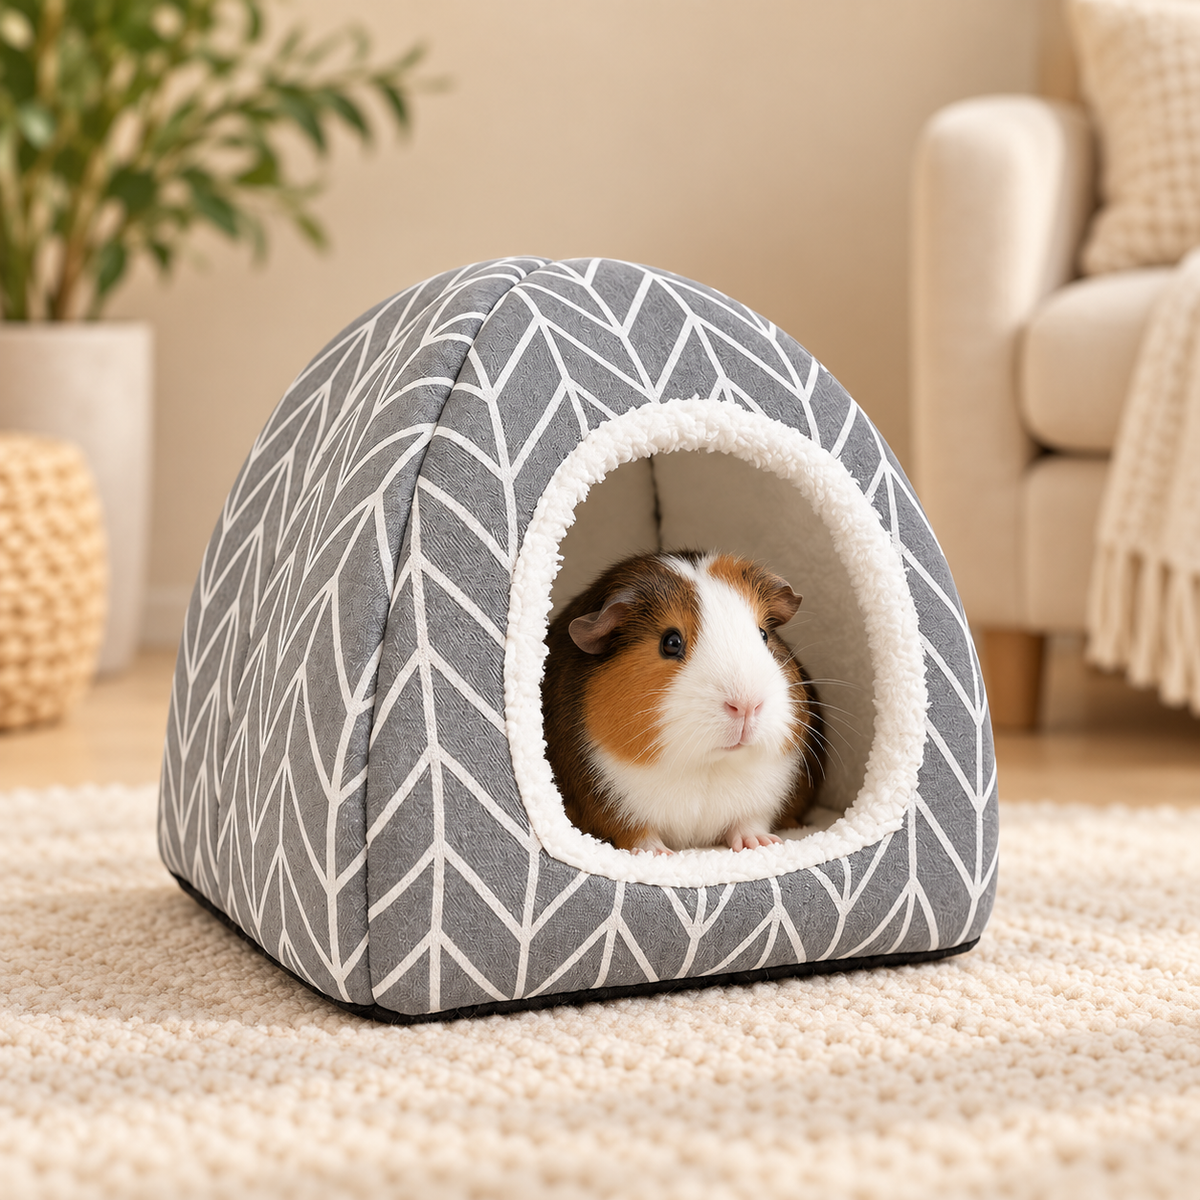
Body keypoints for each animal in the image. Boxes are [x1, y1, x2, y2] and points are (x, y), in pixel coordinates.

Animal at [541, 550, 824, 855]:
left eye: (763, 634)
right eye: (671, 642)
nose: (747, 705)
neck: (706, 766)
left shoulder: (760, 801)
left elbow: (748, 823)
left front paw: (763, 844)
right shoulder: (609, 803)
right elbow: (637, 835)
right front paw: (658, 854)